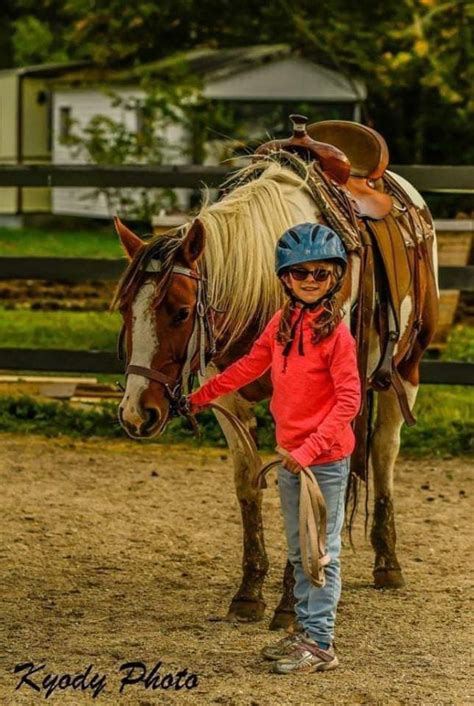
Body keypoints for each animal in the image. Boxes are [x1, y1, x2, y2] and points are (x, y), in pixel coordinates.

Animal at [113, 155, 438, 628]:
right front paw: (249, 592)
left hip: (406, 368)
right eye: (124, 308)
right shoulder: (227, 399)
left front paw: (290, 603)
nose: (137, 412)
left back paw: (387, 563)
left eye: (181, 311)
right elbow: (248, 485)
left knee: (383, 450)